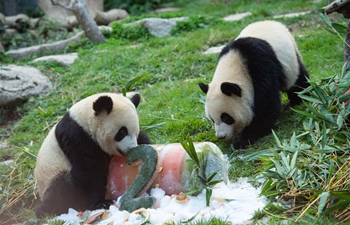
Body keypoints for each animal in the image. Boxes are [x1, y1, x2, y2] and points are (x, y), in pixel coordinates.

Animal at [200, 20, 308, 149]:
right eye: (212, 119)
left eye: (226, 117)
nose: (221, 136)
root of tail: (273, 22)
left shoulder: (261, 67)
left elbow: (267, 105)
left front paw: (243, 140)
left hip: (291, 58)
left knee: (297, 80)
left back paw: (299, 99)